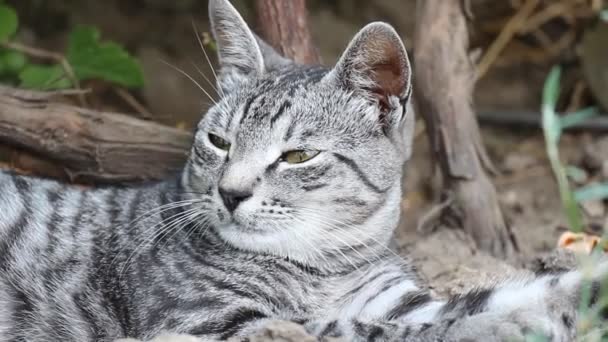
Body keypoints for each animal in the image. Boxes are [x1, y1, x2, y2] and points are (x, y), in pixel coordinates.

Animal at [0, 0, 604, 342]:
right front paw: (498, 327)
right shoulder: (204, 319)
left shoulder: (396, 295)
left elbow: (490, 296)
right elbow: (373, 330)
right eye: (219, 142)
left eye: (296, 156)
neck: (323, 263)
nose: (230, 192)